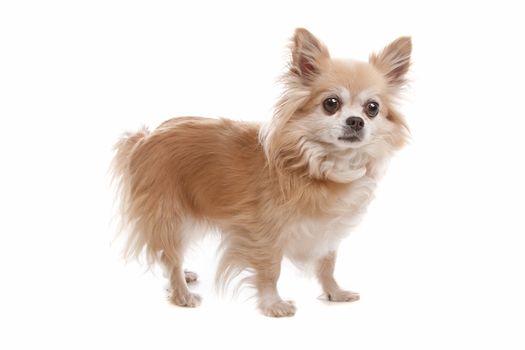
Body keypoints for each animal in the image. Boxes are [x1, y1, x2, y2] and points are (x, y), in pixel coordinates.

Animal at [112, 28, 412, 318]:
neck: (318, 165)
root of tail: (144, 138)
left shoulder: (326, 229)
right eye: (331, 103)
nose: (356, 121)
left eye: (372, 108)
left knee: (168, 254)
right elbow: (270, 270)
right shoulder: (264, 233)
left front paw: (334, 293)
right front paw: (273, 304)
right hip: (171, 216)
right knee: (171, 254)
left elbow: (327, 264)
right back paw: (181, 293)